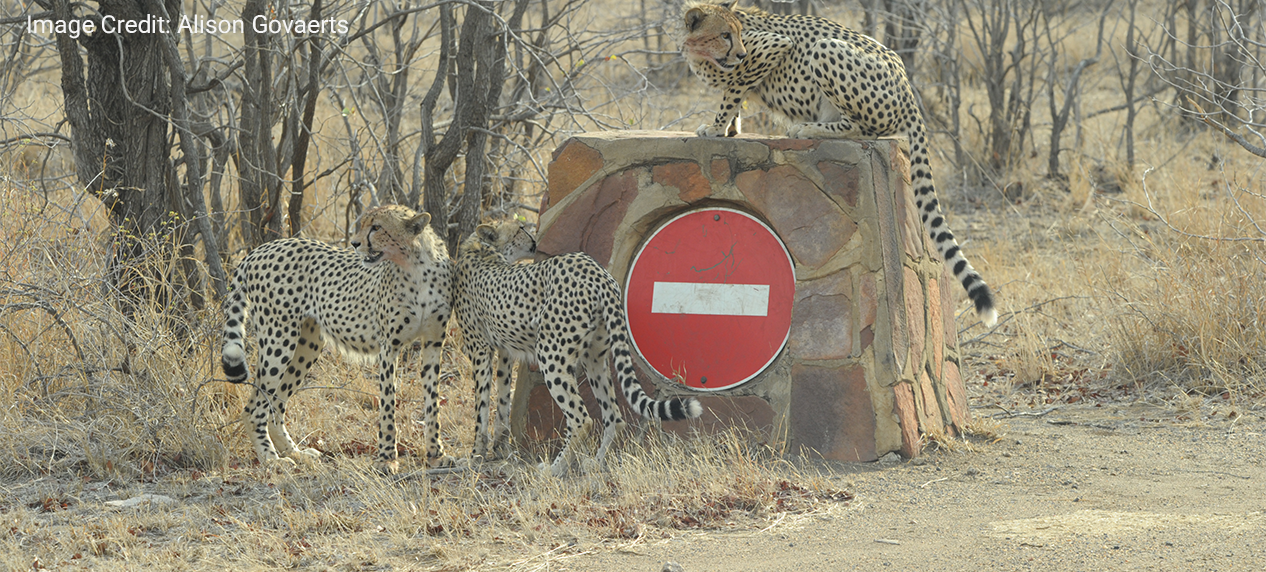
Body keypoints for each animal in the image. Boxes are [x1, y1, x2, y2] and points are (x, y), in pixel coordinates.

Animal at [220, 205, 453, 474]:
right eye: (364, 224)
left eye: (377, 227)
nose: (354, 243)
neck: (415, 267)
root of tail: (262, 248)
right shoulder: (389, 348)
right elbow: (387, 406)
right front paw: (386, 459)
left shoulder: (433, 343)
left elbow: (432, 403)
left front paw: (436, 454)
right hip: (279, 339)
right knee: (254, 407)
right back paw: (272, 460)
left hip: (306, 345)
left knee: (275, 404)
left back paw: (296, 453)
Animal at [453, 220, 703, 476]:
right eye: (520, 229)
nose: (534, 239)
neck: (486, 250)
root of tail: (598, 272)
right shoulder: (504, 354)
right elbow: (502, 402)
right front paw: (498, 450)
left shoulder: (479, 350)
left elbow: (481, 408)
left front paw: (474, 457)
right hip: (594, 357)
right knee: (614, 416)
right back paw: (596, 463)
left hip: (551, 354)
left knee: (582, 419)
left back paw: (554, 469)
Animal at [676, 1, 998, 326]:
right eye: (724, 34)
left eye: (738, 34)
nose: (740, 54)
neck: (701, 51)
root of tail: (907, 85)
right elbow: (735, 100)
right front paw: (730, 130)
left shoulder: (772, 46)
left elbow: (732, 92)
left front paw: (716, 128)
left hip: (826, 49)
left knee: (862, 128)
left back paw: (807, 128)